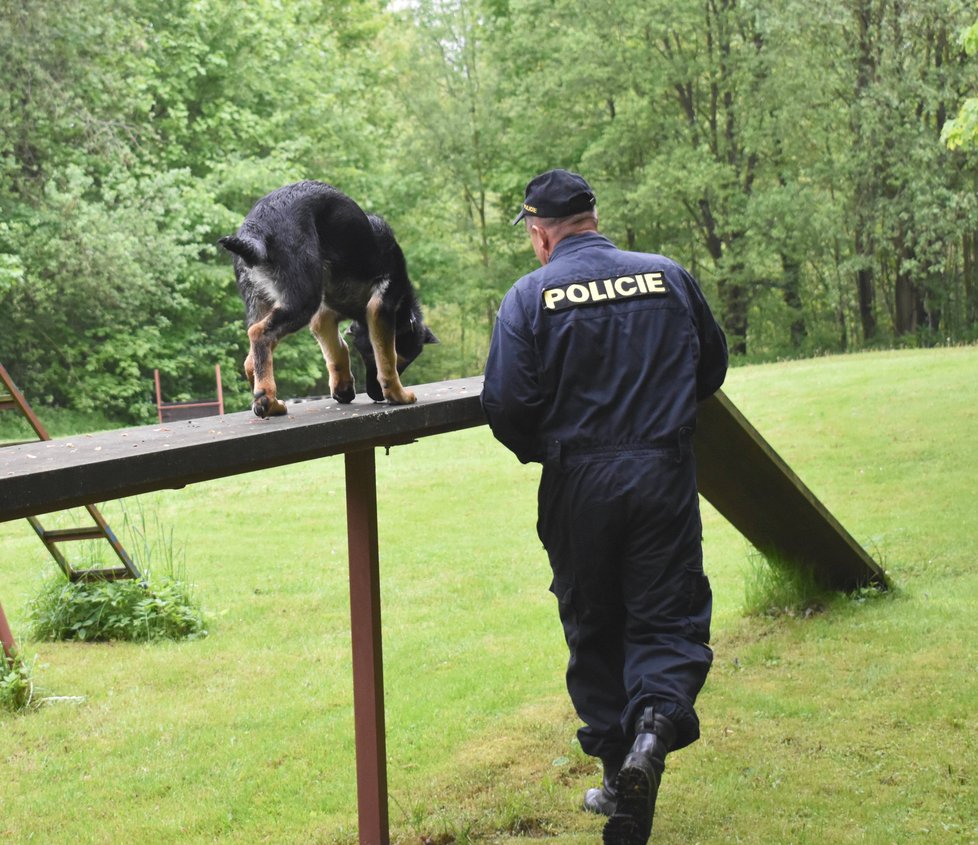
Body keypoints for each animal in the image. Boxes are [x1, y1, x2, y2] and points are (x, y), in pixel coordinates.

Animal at [221, 180, 438, 418]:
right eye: (402, 362)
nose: (376, 395)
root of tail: (257, 224)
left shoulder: (323, 317)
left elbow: (338, 350)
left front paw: (343, 388)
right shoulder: (381, 308)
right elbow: (386, 360)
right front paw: (398, 395)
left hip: (262, 301)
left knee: (251, 359)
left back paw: (268, 401)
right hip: (304, 301)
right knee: (259, 334)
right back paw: (267, 399)